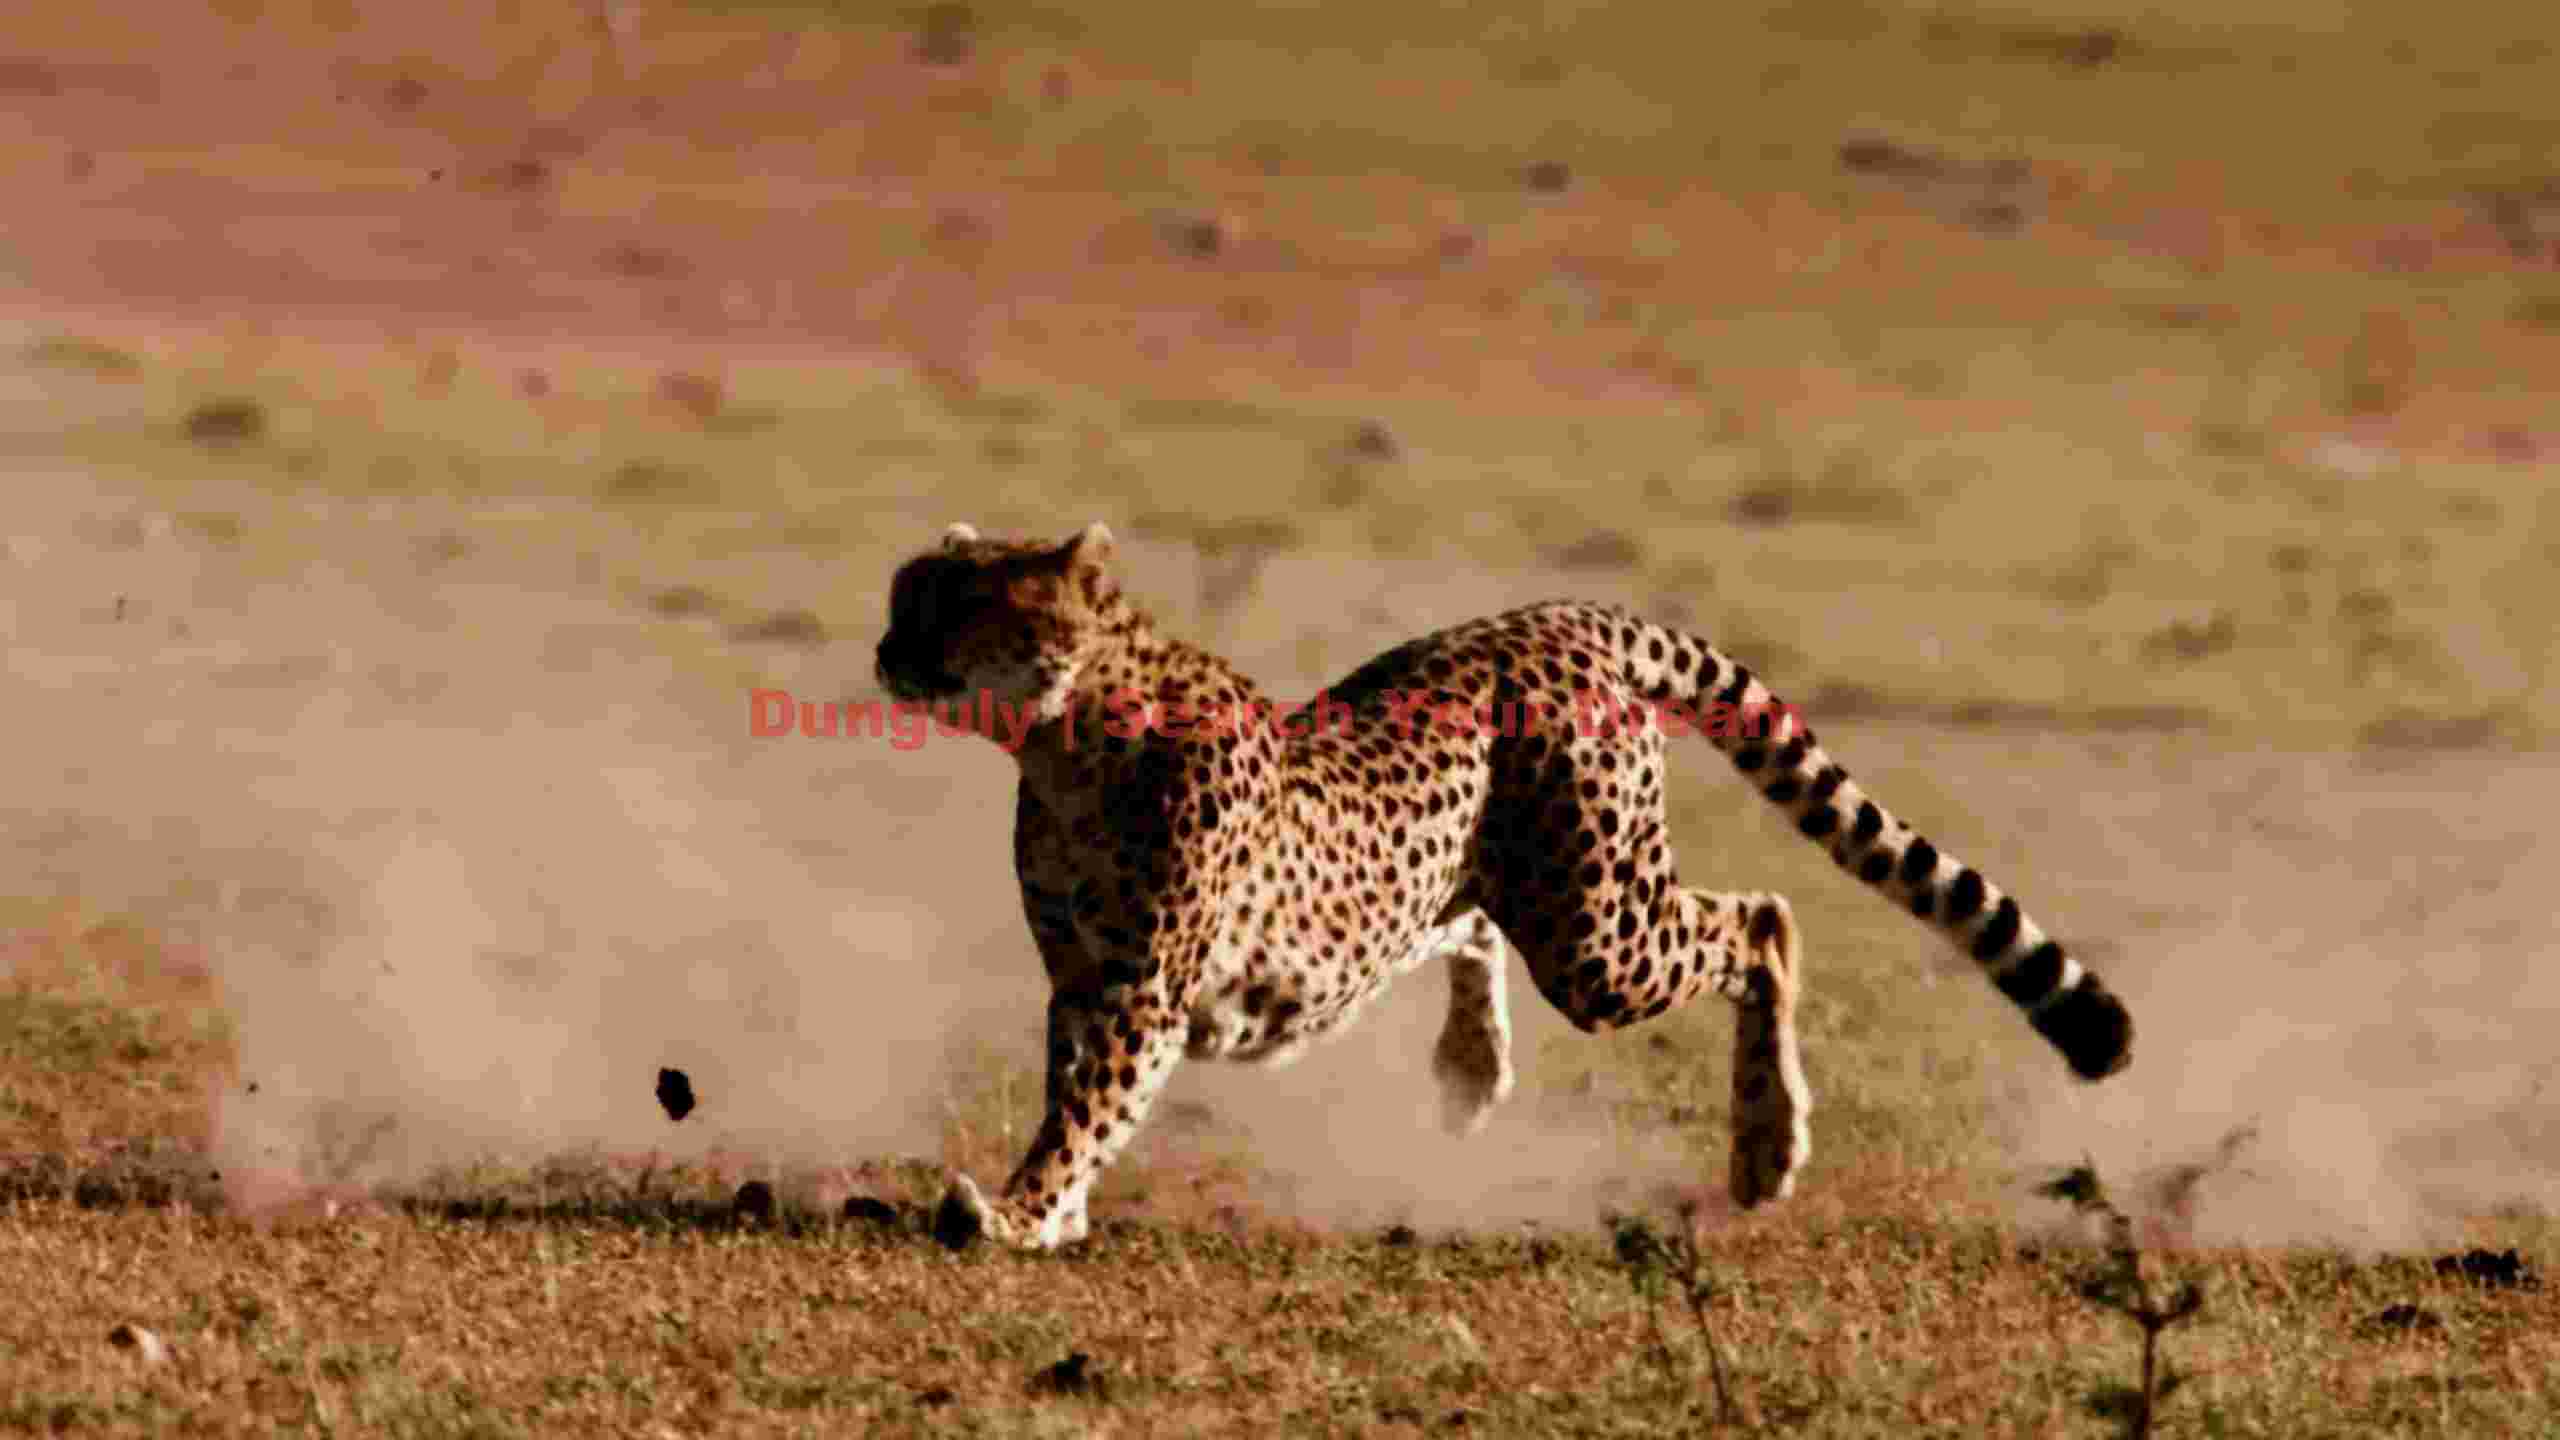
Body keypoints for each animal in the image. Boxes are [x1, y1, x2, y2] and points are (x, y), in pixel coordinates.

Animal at [872, 521, 2134, 1251]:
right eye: (903, 594)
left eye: (957, 603)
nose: (884, 651)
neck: (1062, 734)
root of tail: (1557, 615)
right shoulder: (1084, 980)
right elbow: (1073, 1091)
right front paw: (1056, 1215)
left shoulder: (1139, 989)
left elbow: (1087, 1106)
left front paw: (1015, 1212)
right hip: (1516, 890)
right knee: (1465, 922)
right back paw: (1472, 1066)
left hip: (1598, 936)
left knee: (1763, 922)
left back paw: (1765, 1148)